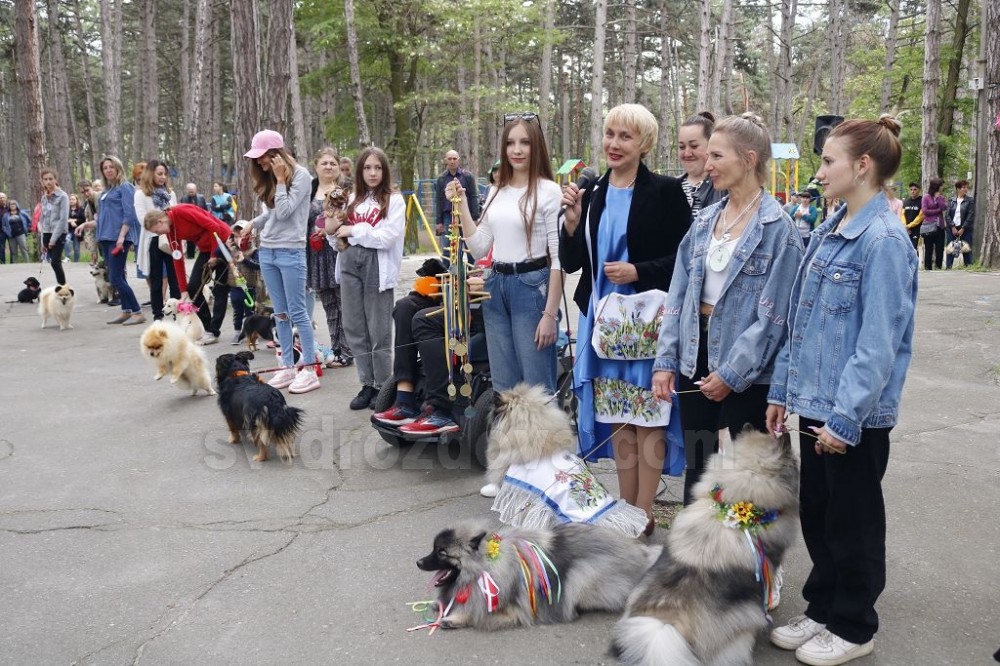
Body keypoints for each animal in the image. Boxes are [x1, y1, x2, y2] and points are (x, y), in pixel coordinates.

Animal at [416, 520, 664, 628]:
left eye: (441, 552)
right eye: (433, 548)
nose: (418, 562)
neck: (485, 565)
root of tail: (642, 556)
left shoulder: (510, 609)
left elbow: (478, 613)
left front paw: (455, 618)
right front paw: (442, 605)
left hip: (582, 575)